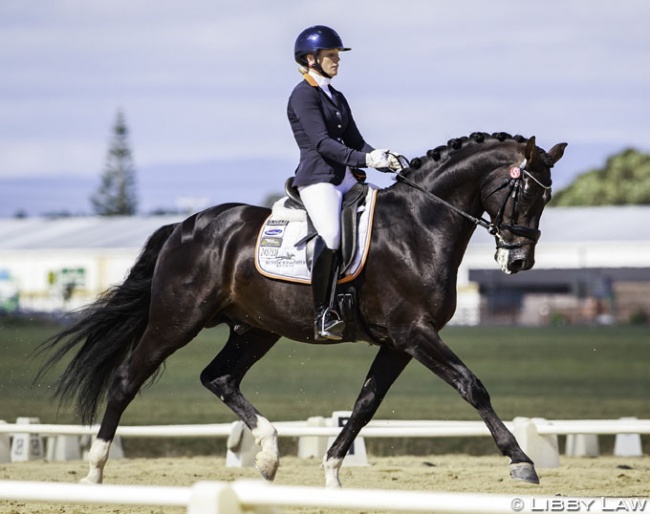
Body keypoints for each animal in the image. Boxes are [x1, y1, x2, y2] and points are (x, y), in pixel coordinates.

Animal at [36, 130, 560, 486]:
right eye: (525, 192)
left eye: (547, 195)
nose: (519, 261)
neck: (419, 226)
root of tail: (185, 226)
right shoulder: (414, 332)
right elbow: (472, 386)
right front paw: (521, 461)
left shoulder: (399, 341)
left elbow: (366, 404)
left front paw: (331, 471)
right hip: (176, 320)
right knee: (128, 377)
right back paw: (95, 470)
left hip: (256, 328)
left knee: (219, 377)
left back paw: (268, 455)